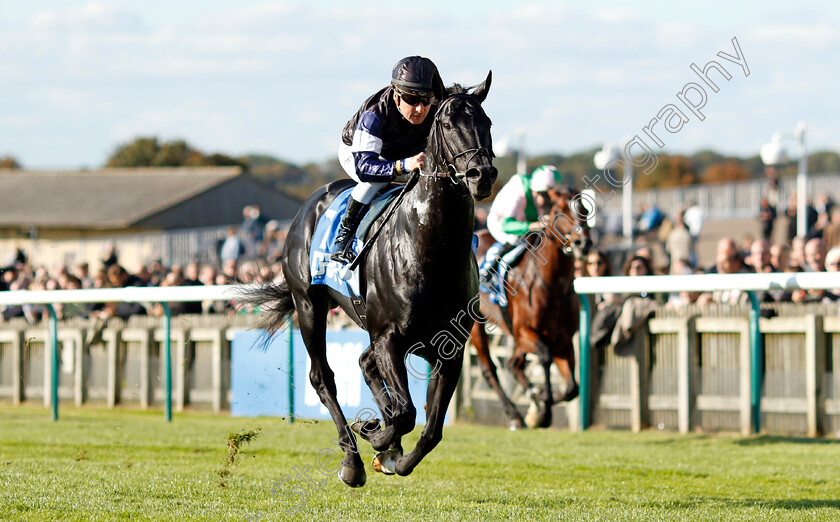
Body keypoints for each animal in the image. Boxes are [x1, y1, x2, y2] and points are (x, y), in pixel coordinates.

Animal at [240, 72, 496, 484]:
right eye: (445, 124)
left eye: (486, 122)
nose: (481, 174)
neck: (431, 250)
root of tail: (308, 206)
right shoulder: (389, 336)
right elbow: (406, 414)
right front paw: (375, 435)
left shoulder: (449, 347)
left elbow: (431, 428)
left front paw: (393, 453)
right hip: (309, 305)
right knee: (323, 378)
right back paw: (353, 460)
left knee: (364, 363)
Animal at [470, 191, 588, 426]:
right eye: (559, 210)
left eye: (586, 210)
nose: (582, 243)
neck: (554, 286)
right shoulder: (525, 332)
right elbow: (544, 357)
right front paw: (542, 407)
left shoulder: (563, 340)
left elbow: (572, 389)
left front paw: (540, 404)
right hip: (475, 327)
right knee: (491, 370)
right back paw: (515, 414)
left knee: (513, 364)